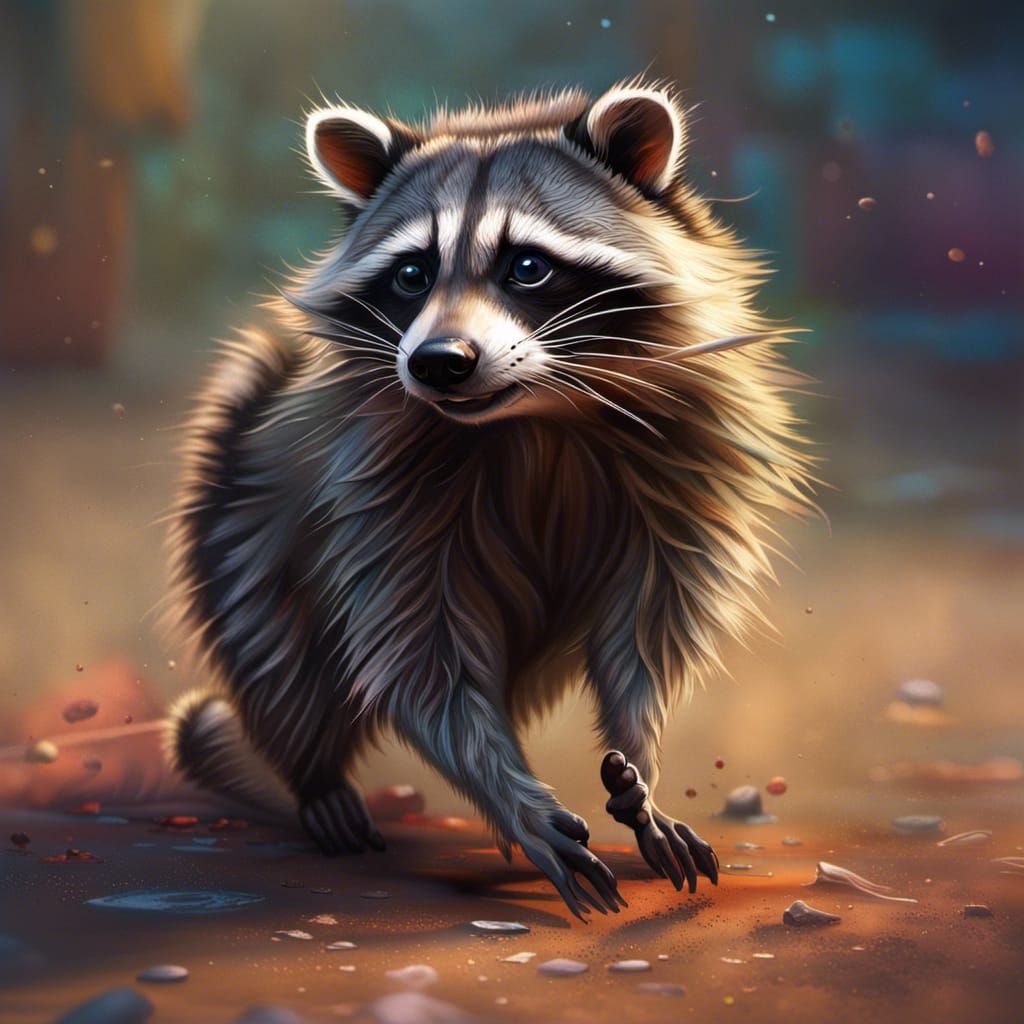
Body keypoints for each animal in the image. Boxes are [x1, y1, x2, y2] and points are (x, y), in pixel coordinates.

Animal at [166, 80, 813, 918]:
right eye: (412, 274)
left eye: (527, 266)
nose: (438, 362)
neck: (537, 417)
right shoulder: (377, 496)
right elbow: (421, 659)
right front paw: (516, 801)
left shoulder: (681, 472)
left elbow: (645, 626)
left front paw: (641, 758)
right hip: (240, 514)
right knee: (278, 648)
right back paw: (314, 773)